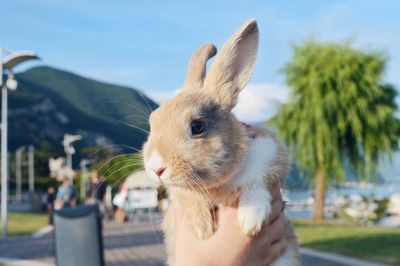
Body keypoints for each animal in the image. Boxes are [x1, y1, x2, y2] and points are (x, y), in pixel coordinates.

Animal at [142, 19, 298, 266]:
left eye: (197, 126)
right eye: (152, 123)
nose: (156, 168)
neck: (221, 183)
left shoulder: (272, 158)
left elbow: (256, 186)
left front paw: (250, 221)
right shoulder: (179, 193)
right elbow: (186, 197)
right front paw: (202, 229)